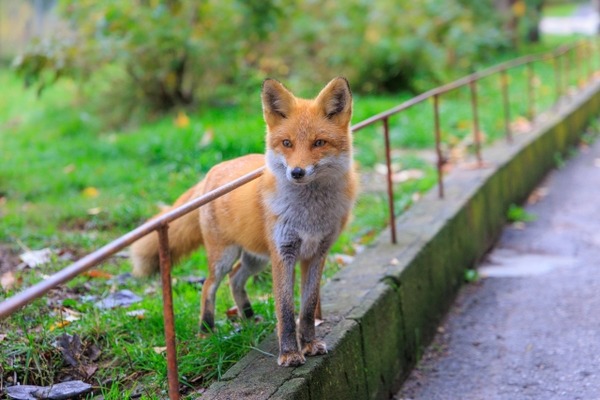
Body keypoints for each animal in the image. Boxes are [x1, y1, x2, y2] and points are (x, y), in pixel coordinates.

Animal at [130, 76, 356, 368]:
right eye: (287, 143)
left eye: (319, 143)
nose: (296, 172)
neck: (310, 214)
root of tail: (213, 171)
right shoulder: (284, 253)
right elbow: (285, 309)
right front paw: (289, 353)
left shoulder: (317, 253)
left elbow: (306, 308)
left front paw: (308, 344)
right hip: (225, 256)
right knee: (209, 285)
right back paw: (207, 329)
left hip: (256, 257)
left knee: (236, 279)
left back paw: (248, 316)